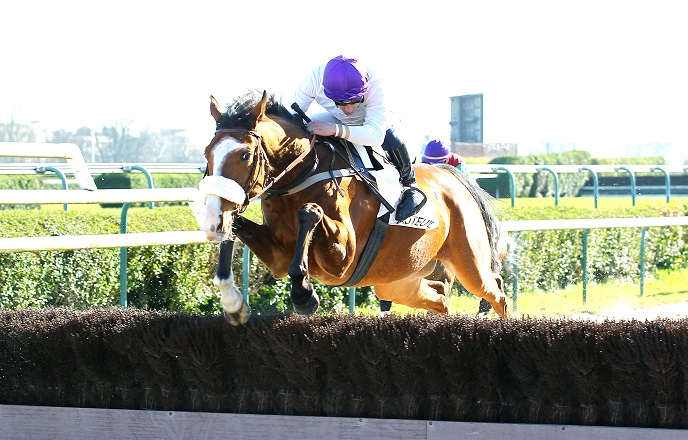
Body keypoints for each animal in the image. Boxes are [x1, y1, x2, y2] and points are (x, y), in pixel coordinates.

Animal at [196, 90, 508, 324]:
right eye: (207, 153)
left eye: (245, 155)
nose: (212, 220)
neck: (306, 171)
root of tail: (453, 177)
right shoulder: (278, 257)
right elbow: (239, 228)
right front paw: (233, 303)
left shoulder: (343, 256)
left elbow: (309, 212)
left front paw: (304, 294)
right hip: (396, 280)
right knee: (440, 297)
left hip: (471, 264)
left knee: (497, 293)